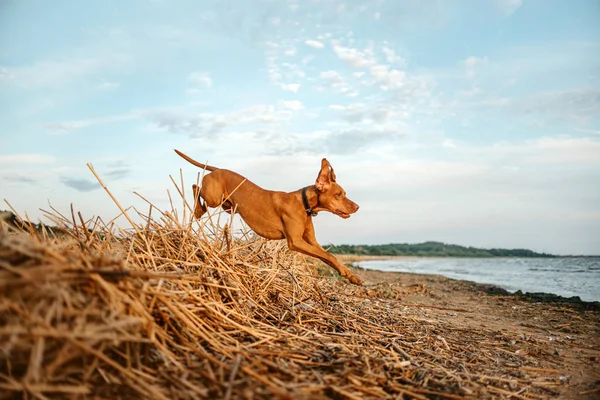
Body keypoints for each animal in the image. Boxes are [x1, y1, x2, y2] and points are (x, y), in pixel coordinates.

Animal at [171, 149, 364, 284]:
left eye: (344, 194)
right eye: (339, 195)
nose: (357, 207)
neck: (304, 204)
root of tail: (218, 169)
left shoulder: (311, 241)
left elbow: (328, 257)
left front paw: (350, 276)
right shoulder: (295, 242)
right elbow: (329, 256)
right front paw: (348, 274)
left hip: (225, 204)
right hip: (213, 198)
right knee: (195, 186)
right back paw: (198, 210)